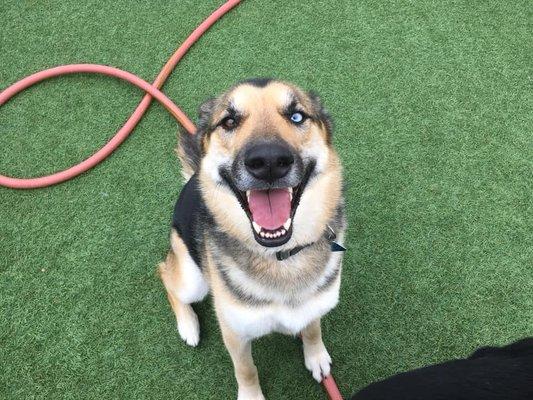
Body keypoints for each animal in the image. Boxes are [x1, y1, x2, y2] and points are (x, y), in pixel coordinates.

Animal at [158, 79, 348, 400]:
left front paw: (316, 356)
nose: (269, 161)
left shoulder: (314, 306)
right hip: (193, 279)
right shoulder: (235, 333)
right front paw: (251, 395)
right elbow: (246, 370)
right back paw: (188, 325)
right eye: (229, 121)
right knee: (164, 274)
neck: (282, 258)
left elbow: (312, 329)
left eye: (297, 116)